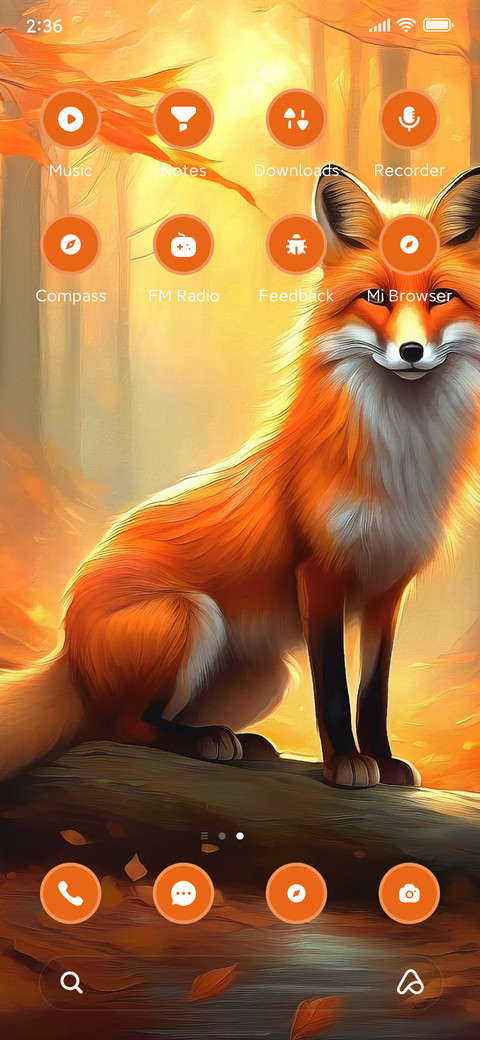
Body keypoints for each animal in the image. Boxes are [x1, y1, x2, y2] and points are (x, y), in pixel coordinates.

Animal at [1, 165, 480, 789]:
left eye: (442, 297)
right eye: (376, 297)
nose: (412, 350)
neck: (401, 459)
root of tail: (66, 648)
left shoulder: (388, 589)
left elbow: (374, 693)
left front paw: (383, 757)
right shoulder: (319, 573)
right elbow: (333, 688)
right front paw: (346, 764)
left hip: (266, 677)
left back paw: (241, 741)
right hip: (189, 616)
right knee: (120, 726)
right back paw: (207, 742)